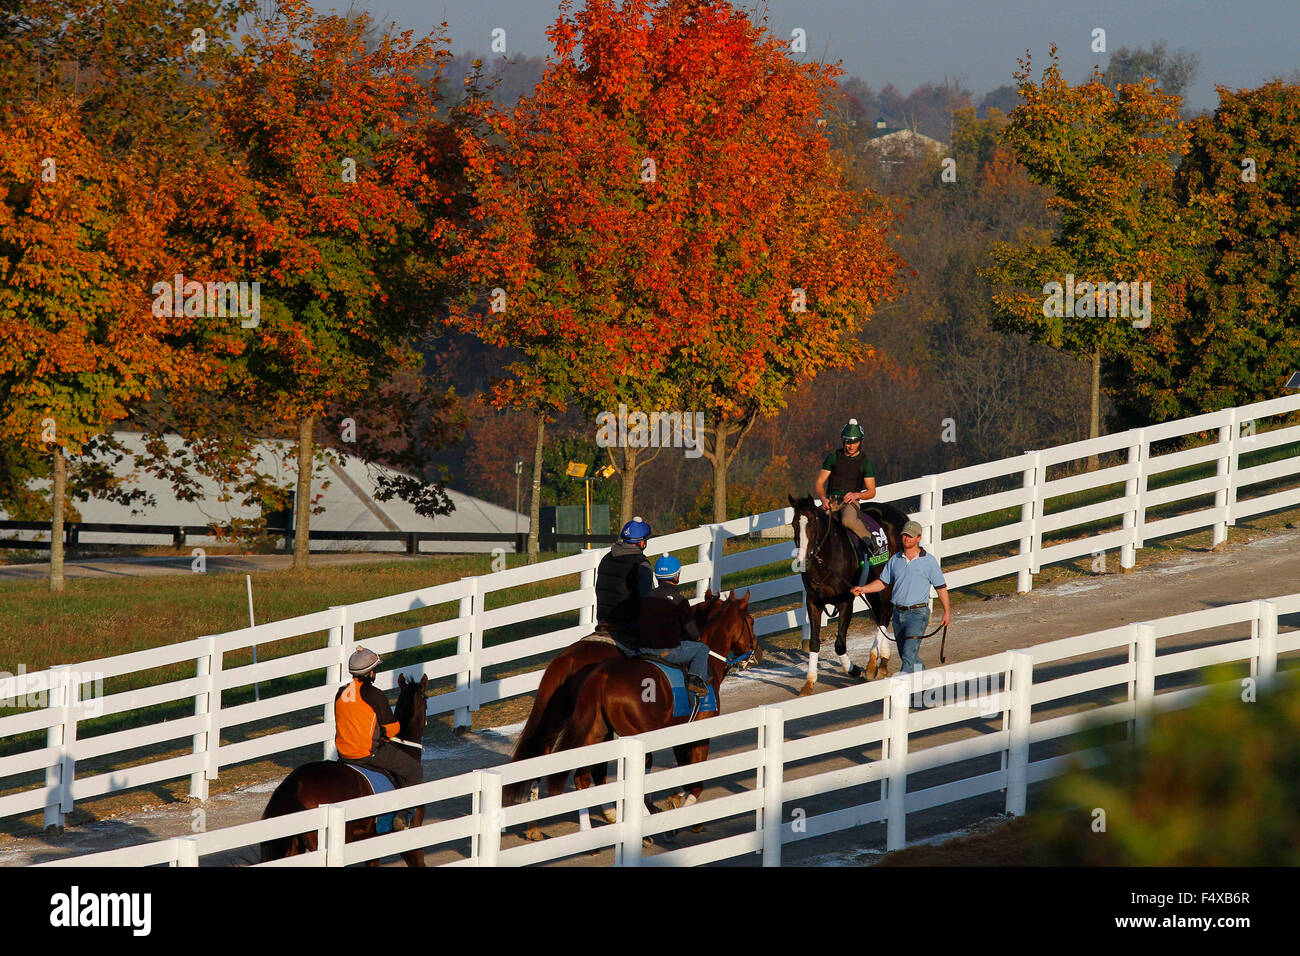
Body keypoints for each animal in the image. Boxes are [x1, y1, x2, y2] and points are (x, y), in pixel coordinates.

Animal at [546, 590, 764, 816]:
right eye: (751, 621)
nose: (758, 651)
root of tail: (601, 677)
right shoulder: (701, 731)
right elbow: (695, 784)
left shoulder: (681, 731)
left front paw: (677, 797)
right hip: (636, 731)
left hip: (596, 732)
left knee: (583, 778)